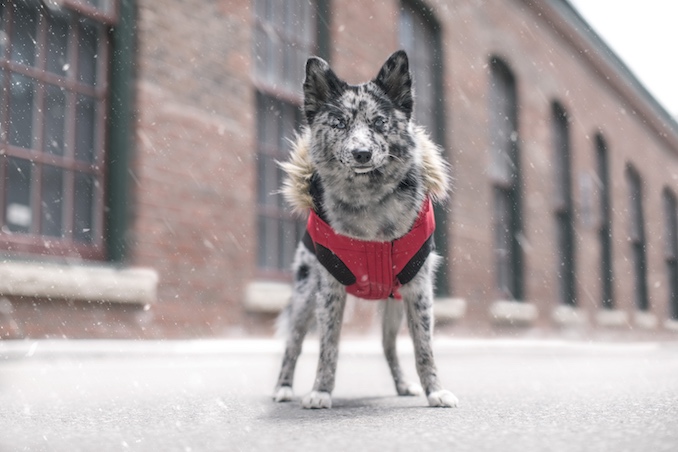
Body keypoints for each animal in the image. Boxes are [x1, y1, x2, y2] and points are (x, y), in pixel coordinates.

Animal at [274, 50, 460, 410]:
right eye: (339, 123)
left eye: (378, 122)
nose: (362, 153)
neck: (369, 204)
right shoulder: (329, 291)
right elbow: (328, 347)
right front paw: (320, 391)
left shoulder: (419, 291)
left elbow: (424, 348)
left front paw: (435, 390)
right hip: (305, 296)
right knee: (293, 344)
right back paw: (284, 387)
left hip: (394, 307)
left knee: (389, 347)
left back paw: (403, 385)